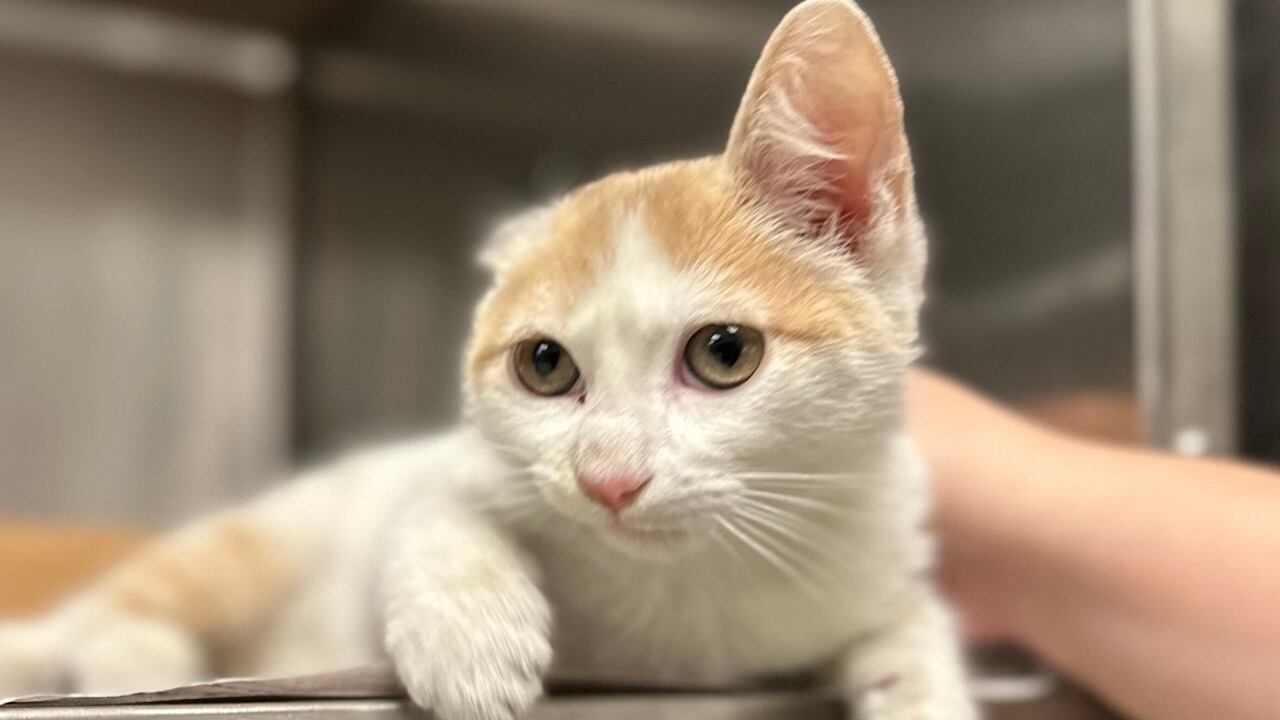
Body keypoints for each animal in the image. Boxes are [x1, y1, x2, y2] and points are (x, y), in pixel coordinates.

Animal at [0, 1, 978, 718]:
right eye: (544, 365)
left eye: (725, 352)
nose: (608, 480)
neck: (683, 595)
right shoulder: (432, 475)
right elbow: (436, 506)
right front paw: (472, 633)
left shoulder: (875, 532)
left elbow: (912, 619)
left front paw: (923, 683)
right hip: (262, 544)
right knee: (125, 605)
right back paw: (132, 661)